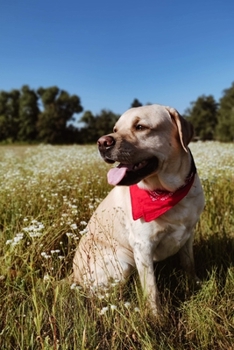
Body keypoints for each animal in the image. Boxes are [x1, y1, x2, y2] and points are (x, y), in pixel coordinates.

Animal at [72, 104, 204, 318]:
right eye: (116, 129)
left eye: (140, 126)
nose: (102, 142)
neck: (168, 192)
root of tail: (73, 276)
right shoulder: (143, 246)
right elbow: (152, 290)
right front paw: (158, 319)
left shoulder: (188, 234)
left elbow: (189, 265)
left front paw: (195, 286)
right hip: (123, 264)